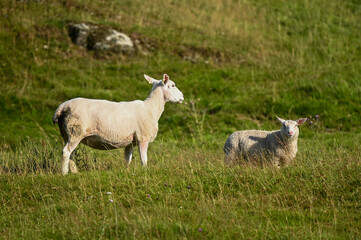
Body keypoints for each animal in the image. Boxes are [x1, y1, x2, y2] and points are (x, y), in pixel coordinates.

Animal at [52, 73, 183, 174]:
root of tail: (62, 107)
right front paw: (145, 171)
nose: (182, 96)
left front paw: (127, 171)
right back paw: (64, 173)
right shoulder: (143, 137)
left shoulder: (130, 141)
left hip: (67, 133)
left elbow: (127, 158)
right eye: (172, 85)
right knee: (66, 152)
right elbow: (143, 159)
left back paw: (74, 172)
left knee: (71, 154)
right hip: (76, 131)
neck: (152, 108)